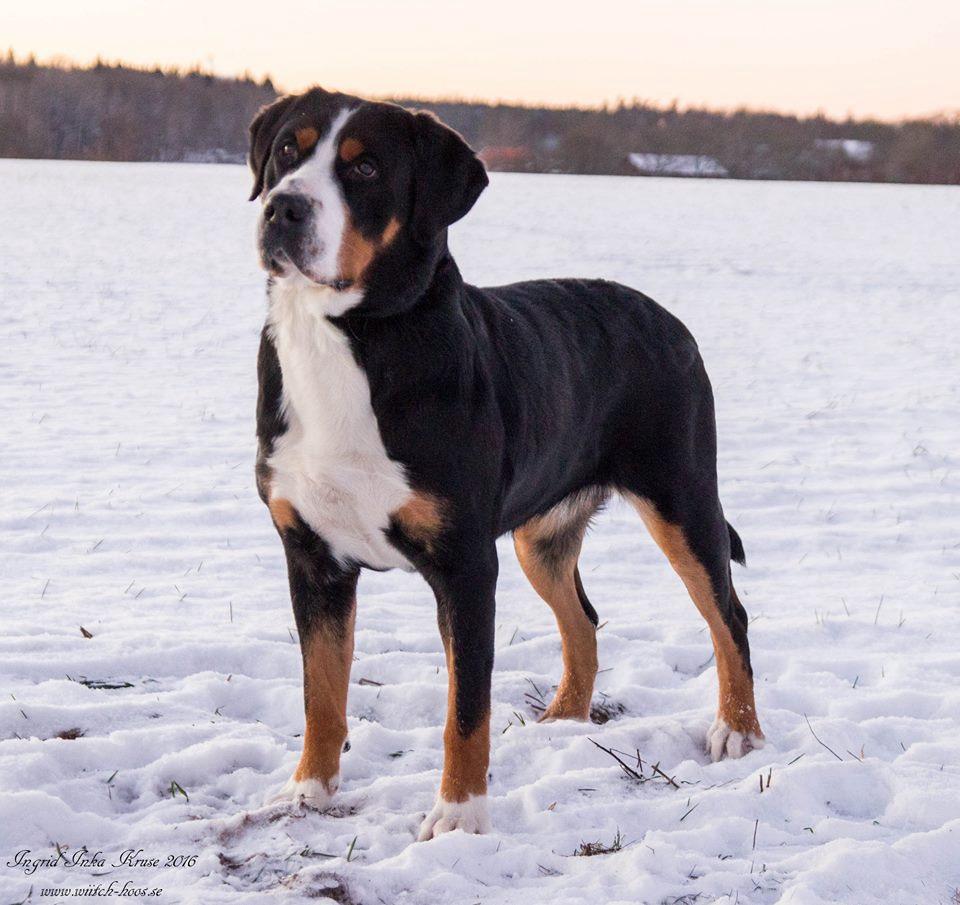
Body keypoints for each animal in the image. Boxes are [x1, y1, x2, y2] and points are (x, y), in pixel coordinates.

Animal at [248, 88, 764, 836]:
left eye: (366, 168)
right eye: (289, 150)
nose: (283, 207)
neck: (349, 340)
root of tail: (666, 318)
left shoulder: (465, 564)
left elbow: (465, 711)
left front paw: (459, 817)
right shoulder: (313, 557)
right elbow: (321, 691)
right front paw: (307, 791)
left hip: (683, 500)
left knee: (730, 617)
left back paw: (739, 730)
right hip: (539, 537)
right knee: (583, 621)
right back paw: (565, 719)